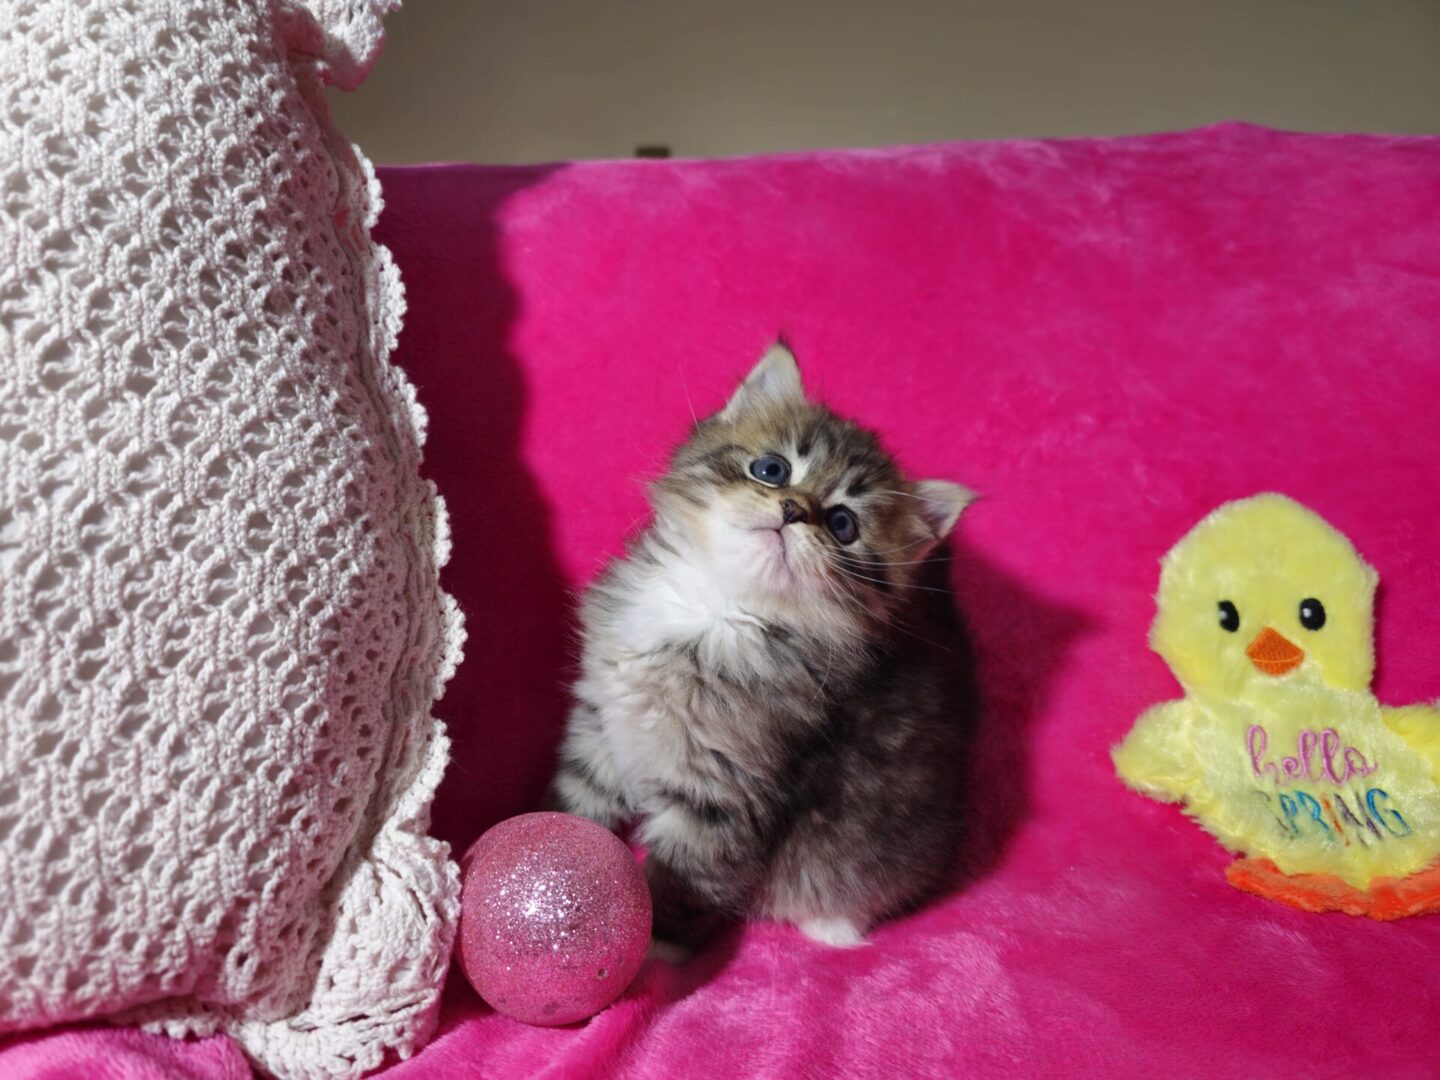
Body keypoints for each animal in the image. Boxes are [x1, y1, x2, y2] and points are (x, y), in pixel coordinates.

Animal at [551, 342, 973, 947]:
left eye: (842, 524)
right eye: (771, 470)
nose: (793, 509)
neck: (717, 607)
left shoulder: (727, 793)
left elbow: (677, 883)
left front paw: (654, 955)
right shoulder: (599, 724)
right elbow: (579, 806)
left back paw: (832, 925)